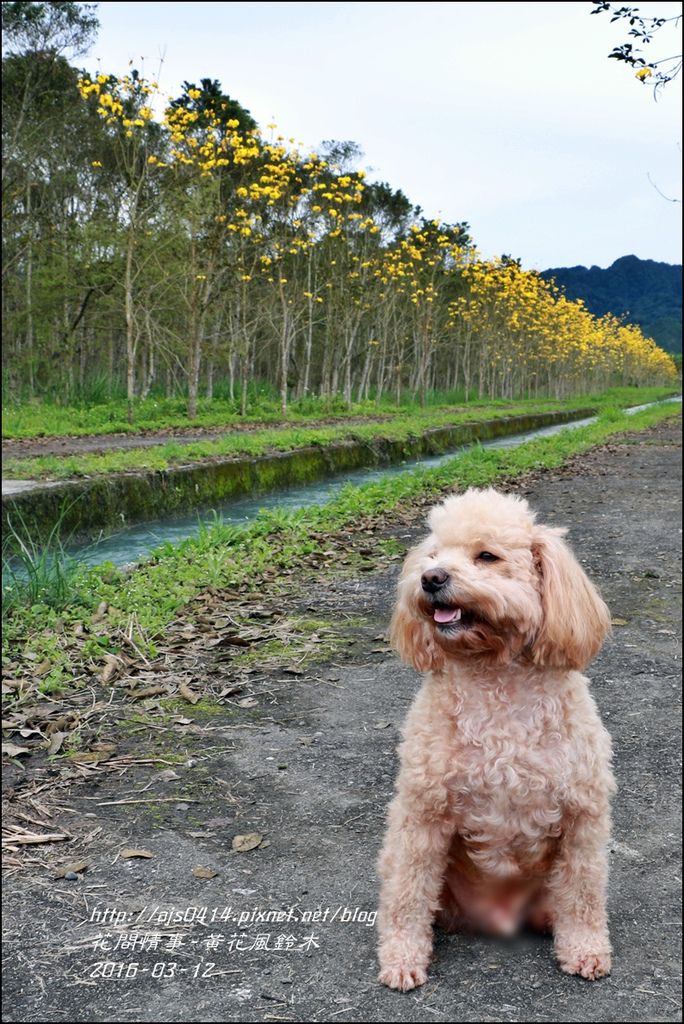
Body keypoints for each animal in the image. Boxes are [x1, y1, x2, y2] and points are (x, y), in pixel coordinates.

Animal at [378, 487, 614, 991]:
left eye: (487, 556)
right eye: (433, 555)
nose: (430, 579)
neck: (495, 671)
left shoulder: (583, 815)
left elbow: (584, 890)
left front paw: (586, 950)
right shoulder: (421, 812)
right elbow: (407, 891)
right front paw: (402, 957)